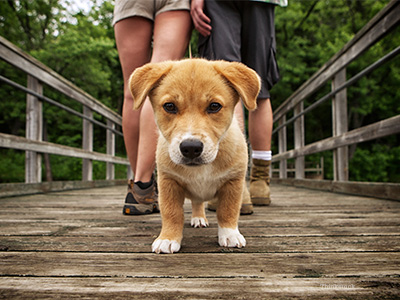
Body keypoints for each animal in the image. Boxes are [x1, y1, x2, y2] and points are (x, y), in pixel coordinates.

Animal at [128, 58, 260, 253]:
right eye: (169, 106)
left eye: (214, 106)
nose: (191, 148)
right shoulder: (168, 182)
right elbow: (172, 213)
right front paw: (168, 238)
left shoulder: (233, 182)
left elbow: (228, 211)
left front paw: (229, 235)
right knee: (197, 202)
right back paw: (198, 218)